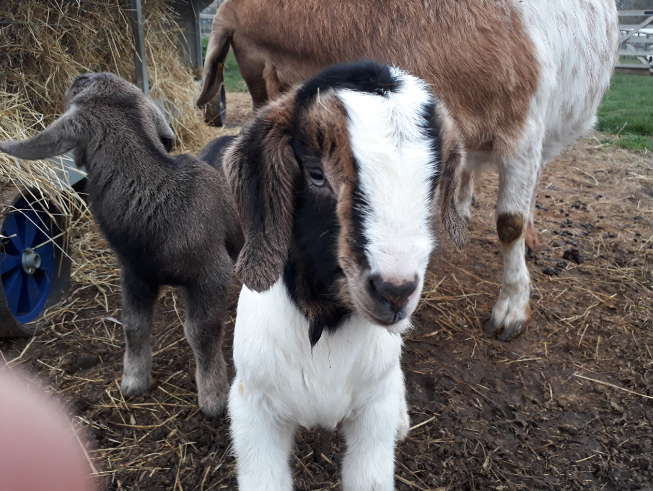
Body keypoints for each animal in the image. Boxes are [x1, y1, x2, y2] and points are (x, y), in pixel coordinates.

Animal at [0, 74, 243, 417]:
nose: (80, 76)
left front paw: (212, 397)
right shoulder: (134, 275)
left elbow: (200, 331)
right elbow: (133, 326)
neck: (158, 197)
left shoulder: (211, 274)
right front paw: (134, 380)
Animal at [222, 61, 466, 491]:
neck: (325, 323)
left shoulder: (373, 410)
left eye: (433, 181)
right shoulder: (252, 406)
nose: (395, 292)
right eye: (316, 174)